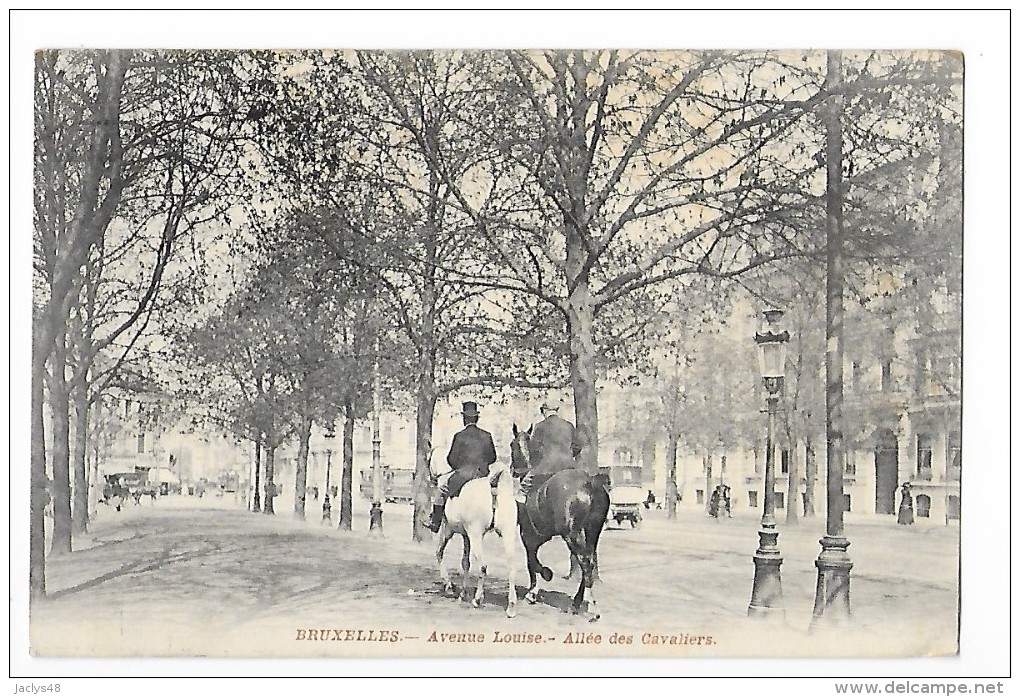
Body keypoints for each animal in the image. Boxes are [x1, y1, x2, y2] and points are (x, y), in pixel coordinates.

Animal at [436, 463, 518, 616]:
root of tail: (494, 488)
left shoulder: (448, 529)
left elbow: (440, 553)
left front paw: (449, 585)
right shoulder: (466, 536)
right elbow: (465, 563)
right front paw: (462, 593)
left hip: (475, 535)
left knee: (483, 566)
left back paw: (477, 599)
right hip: (507, 533)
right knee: (511, 566)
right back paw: (511, 606)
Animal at [507, 424, 603, 620]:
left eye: (512, 445)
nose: (512, 469)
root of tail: (589, 484)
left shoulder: (528, 535)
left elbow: (531, 561)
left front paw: (537, 586)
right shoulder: (541, 536)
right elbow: (533, 559)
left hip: (572, 536)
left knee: (585, 562)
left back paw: (591, 606)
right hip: (592, 533)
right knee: (589, 563)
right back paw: (577, 602)